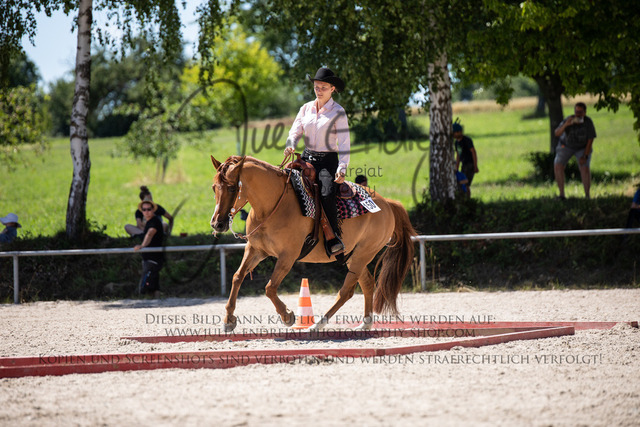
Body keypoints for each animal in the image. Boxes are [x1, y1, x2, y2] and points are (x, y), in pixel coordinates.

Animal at [210, 154, 416, 332]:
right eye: (213, 188)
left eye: (232, 188)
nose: (217, 224)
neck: (272, 206)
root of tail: (388, 203)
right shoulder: (255, 250)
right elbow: (237, 277)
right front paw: (229, 320)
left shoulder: (287, 256)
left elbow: (270, 288)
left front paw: (288, 316)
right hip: (353, 256)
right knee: (366, 283)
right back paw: (364, 324)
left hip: (363, 254)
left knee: (346, 291)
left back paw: (317, 325)